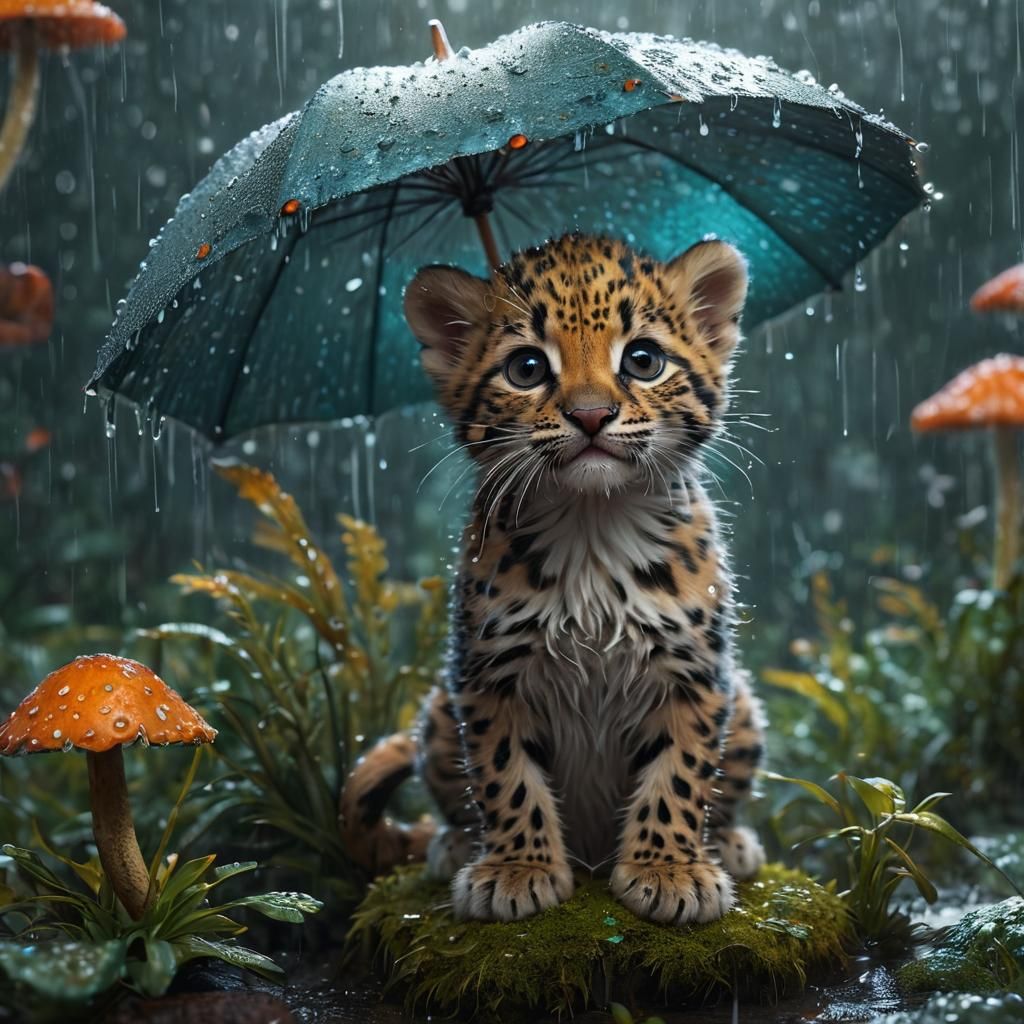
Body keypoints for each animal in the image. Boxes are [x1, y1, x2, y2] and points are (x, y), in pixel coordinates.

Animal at [339, 232, 766, 925]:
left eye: (643, 360)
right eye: (527, 368)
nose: (591, 415)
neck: (592, 528)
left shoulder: (695, 670)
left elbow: (681, 772)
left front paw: (670, 870)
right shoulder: (489, 674)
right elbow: (504, 775)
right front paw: (518, 870)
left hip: (746, 706)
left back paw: (727, 843)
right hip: (439, 710)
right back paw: (454, 846)